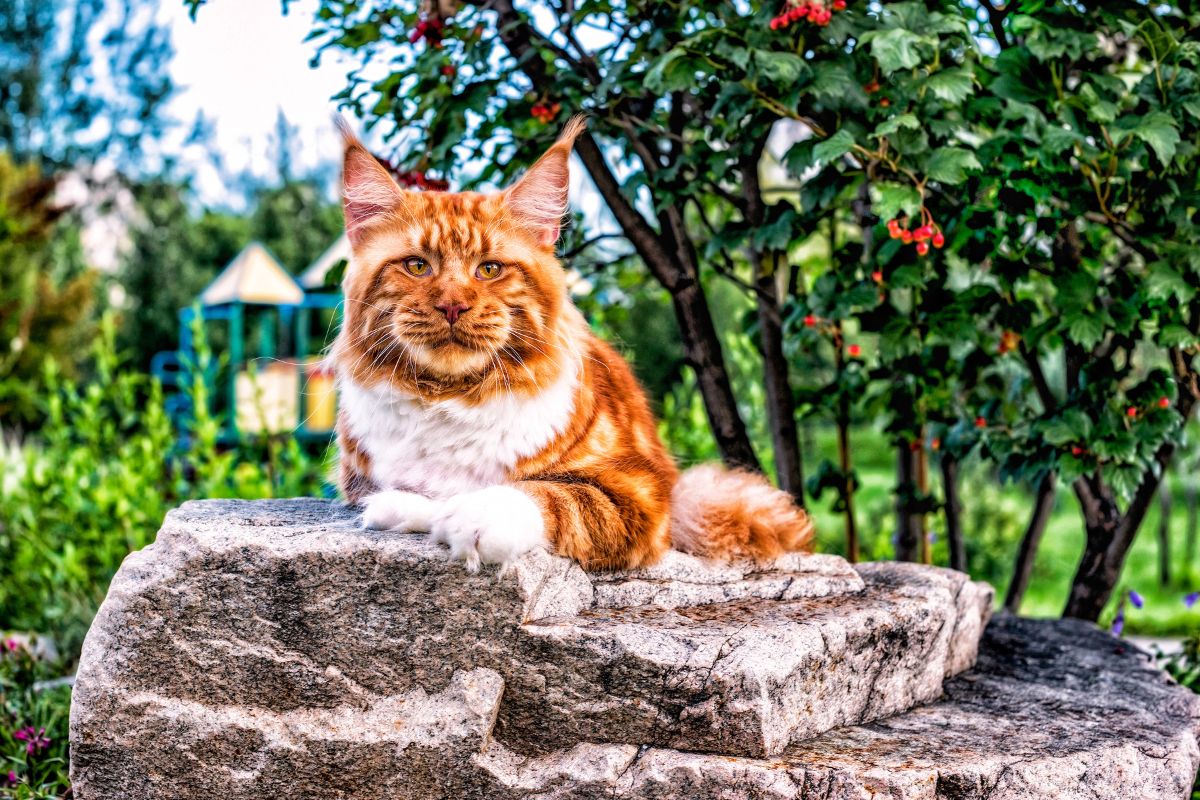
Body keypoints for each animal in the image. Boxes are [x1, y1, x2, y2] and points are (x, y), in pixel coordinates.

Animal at [333, 117, 811, 568]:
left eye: (489, 270)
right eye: (417, 266)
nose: (453, 306)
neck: (452, 398)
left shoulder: (635, 489)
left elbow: (548, 495)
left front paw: (475, 519)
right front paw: (407, 508)